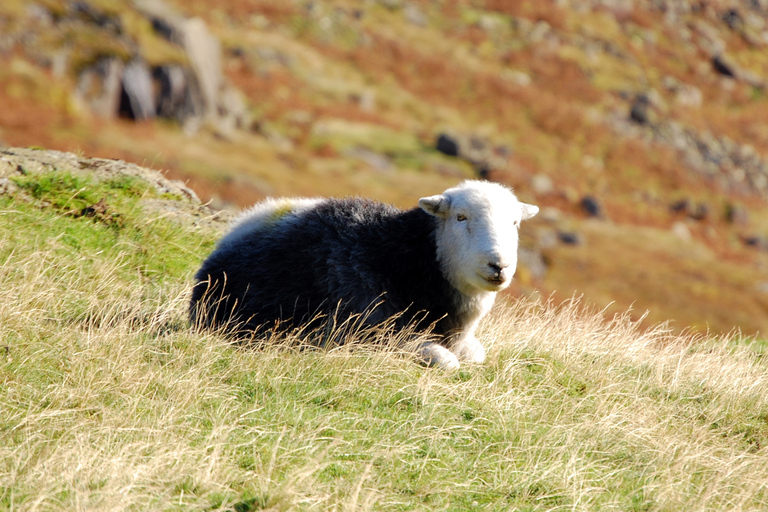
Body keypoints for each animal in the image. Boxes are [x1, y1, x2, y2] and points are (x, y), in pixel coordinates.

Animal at [190, 180, 540, 368]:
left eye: (515, 223)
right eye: (460, 217)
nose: (499, 265)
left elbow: (476, 354)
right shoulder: (374, 333)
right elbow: (448, 361)